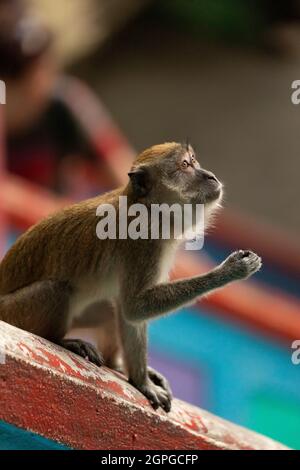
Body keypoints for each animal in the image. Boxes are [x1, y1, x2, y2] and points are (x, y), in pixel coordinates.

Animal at [0, 142, 262, 412]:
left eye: (194, 161)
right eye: (185, 165)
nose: (210, 176)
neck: (148, 208)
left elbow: (129, 313)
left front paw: (140, 377)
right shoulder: (142, 242)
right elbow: (136, 307)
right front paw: (230, 270)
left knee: (109, 308)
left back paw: (114, 363)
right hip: (14, 311)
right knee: (58, 290)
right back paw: (60, 340)